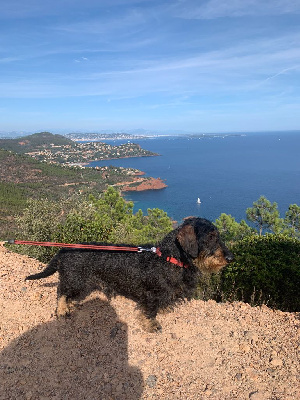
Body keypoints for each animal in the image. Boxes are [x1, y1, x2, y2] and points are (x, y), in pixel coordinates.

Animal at [25, 217, 233, 332]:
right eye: (211, 237)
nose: (230, 258)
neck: (167, 257)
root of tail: (63, 250)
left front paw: (165, 309)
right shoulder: (151, 294)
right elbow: (150, 311)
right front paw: (151, 325)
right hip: (75, 280)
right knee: (61, 292)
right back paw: (62, 310)